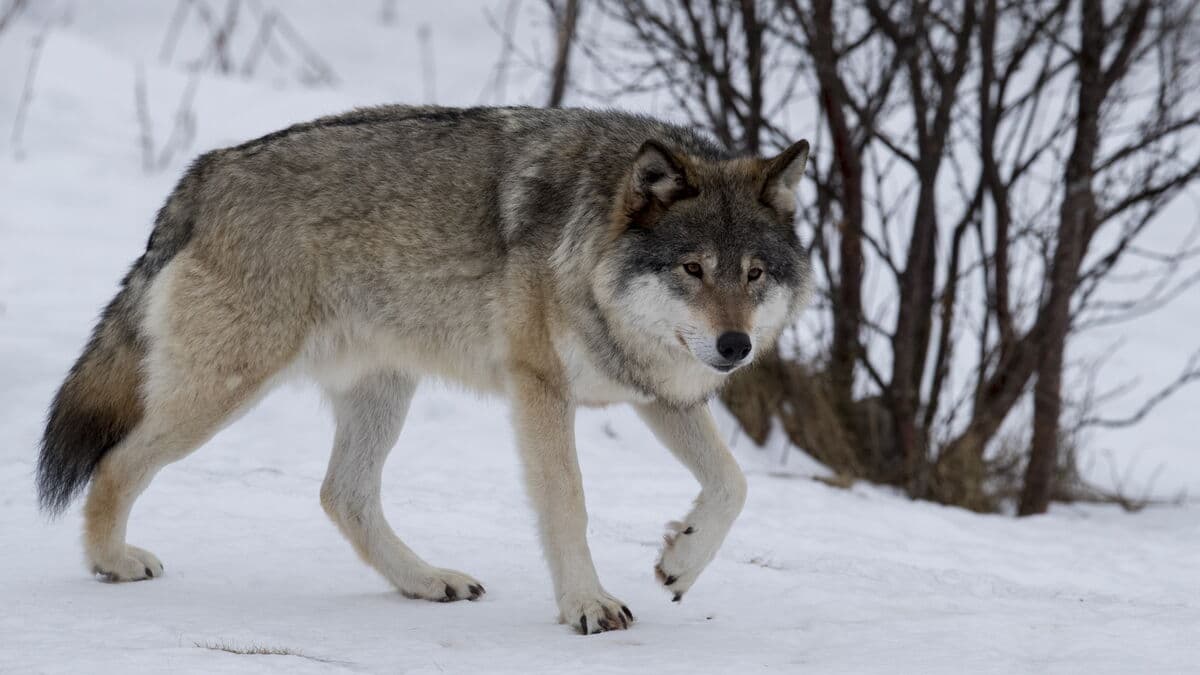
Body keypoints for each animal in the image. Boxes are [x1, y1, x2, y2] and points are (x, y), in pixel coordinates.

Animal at [36, 105, 811, 634]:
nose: (735, 346)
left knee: (341, 495)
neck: (588, 248)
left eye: (754, 273)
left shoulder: (661, 396)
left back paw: (427, 580)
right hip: (227, 389)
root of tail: (205, 171)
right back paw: (112, 561)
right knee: (117, 462)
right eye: (693, 269)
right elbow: (569, 504)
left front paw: (681, 559)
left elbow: (734, 485)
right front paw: (587, 604)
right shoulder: (540, 389)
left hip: (381, 390)